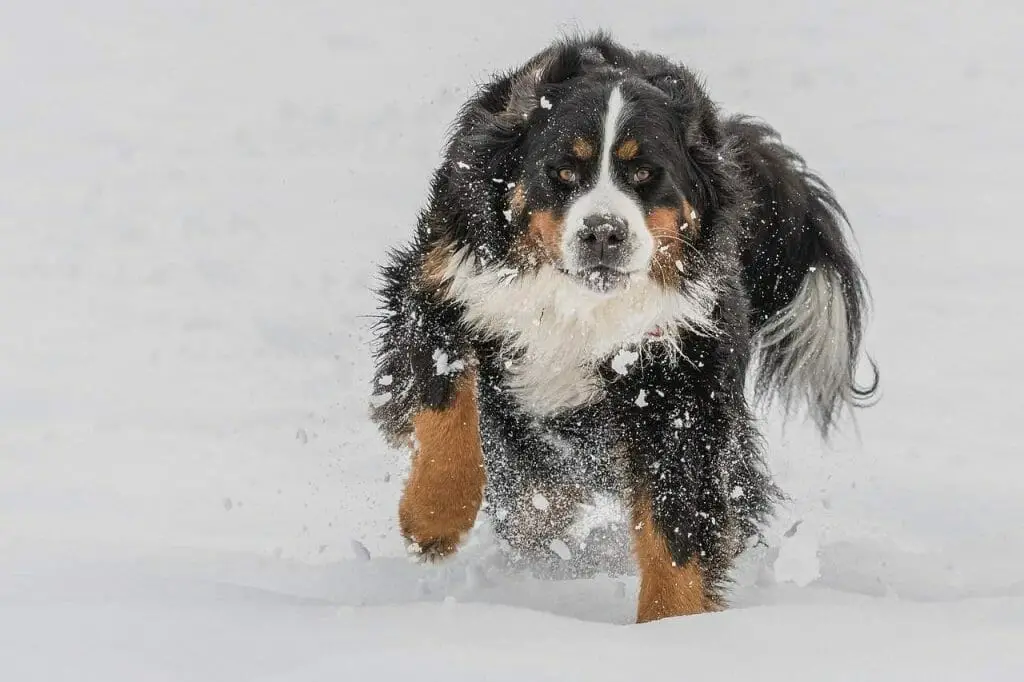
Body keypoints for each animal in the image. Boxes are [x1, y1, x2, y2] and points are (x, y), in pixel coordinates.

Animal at [368, 33, 872, 622]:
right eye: (564, 172)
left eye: (645, 175)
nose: (603, 232)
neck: (578, 305)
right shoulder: (444, 287)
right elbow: (445, 407)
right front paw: (432, 519)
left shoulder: (676, 381)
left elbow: (676, 524)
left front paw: (671, 626)